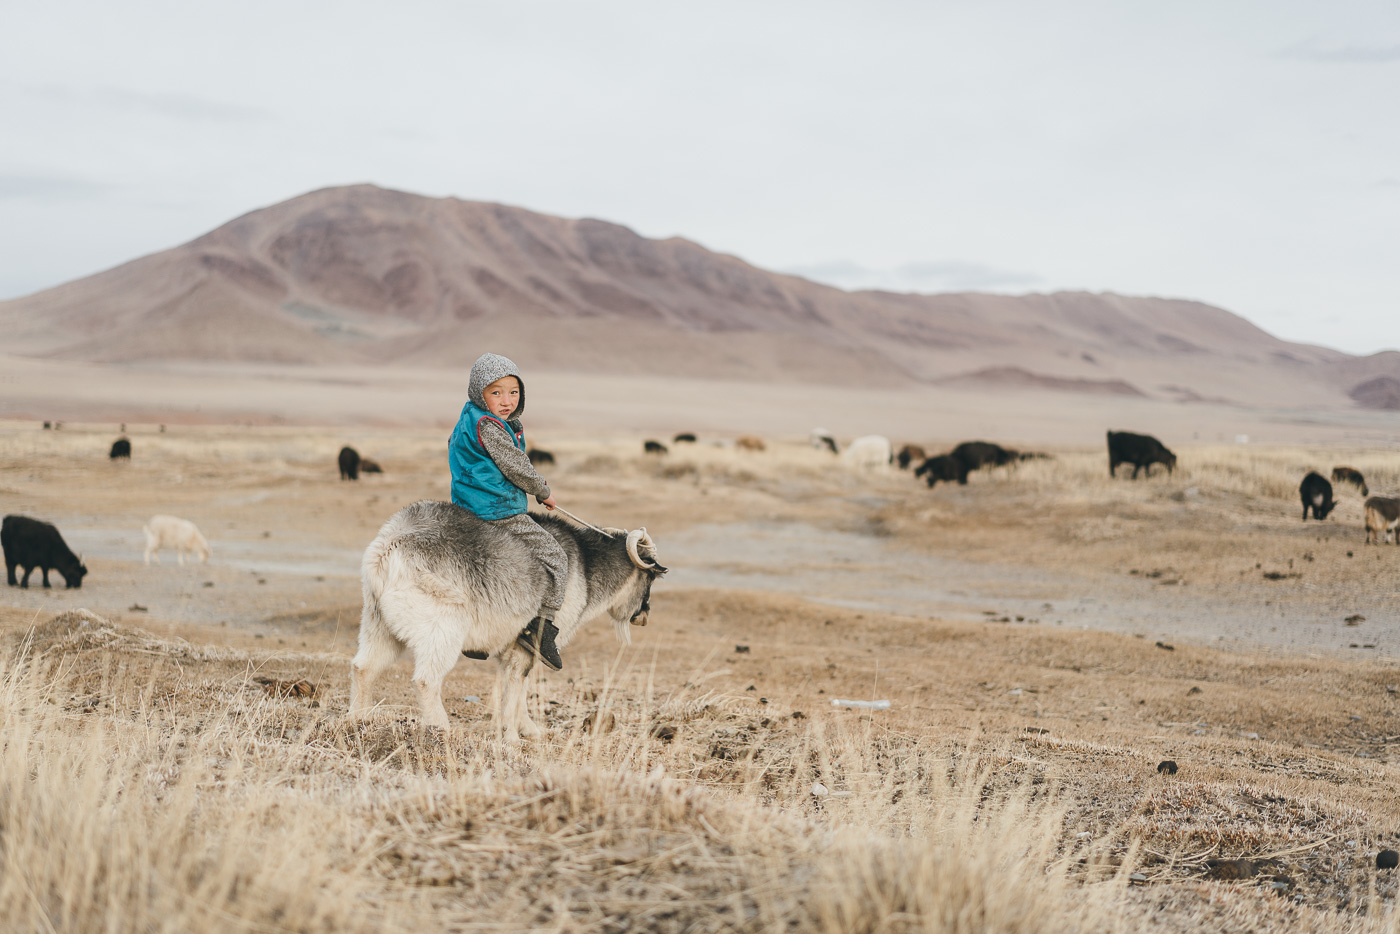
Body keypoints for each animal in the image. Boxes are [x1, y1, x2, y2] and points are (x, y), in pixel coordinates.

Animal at [350, 504, 666, 739]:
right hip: (441, 632)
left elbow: (519, 686)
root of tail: (389, 548)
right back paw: (442, 730)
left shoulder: (515, 647)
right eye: (650, 577)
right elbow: (516, 686)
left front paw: (528, 729)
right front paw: (512, 737)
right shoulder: (527, 645)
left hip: (380, 626)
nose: (644, 617)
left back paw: (359, 721)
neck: (585, 567)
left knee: (363, 668)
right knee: (426, 681)